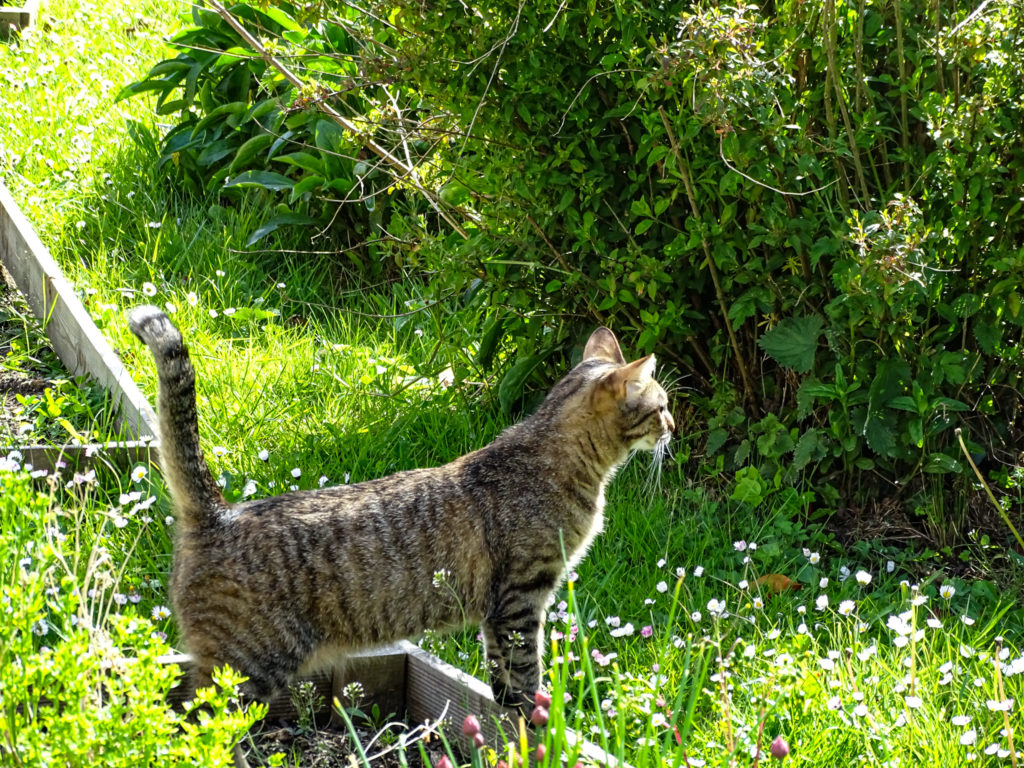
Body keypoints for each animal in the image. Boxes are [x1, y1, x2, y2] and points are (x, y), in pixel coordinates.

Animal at [128, 305, 671, 753]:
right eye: (662, 405)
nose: (674, 426)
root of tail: (220, 513)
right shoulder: (523, 597)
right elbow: (525, 669)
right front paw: (538, 721)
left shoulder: (496, 612)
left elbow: (499, 673)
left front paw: (508, 716)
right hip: (247, 665)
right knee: (194, 720)